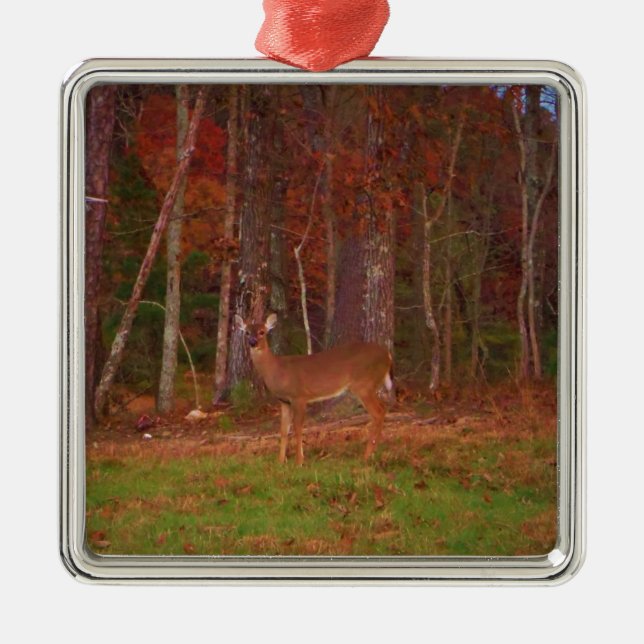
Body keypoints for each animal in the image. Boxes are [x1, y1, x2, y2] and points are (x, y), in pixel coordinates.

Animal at [234, 313, 393, 465]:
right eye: (247, 332)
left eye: (262, 332)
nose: (252, 342)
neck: (277, 370)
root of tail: (388, 355)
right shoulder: (284, 401)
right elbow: (284, 430)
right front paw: (280, 462)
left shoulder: (299, 396)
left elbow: (298, 428)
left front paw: (299, 461)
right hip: (368, 386)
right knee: (383, 408)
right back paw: (373, 452)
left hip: (363, 384)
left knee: (378, 412)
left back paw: (367, 456)